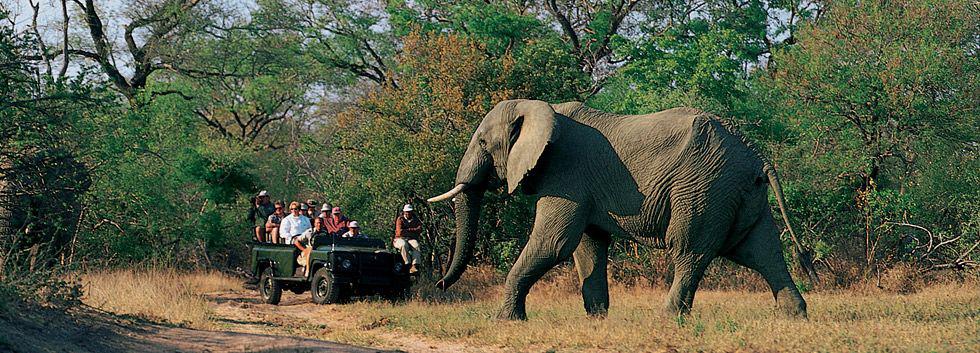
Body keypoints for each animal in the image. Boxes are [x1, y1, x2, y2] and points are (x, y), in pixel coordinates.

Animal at [424, 98, 808, 320]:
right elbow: (588, 247)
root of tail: (757, 156)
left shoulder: (566, 174)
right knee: (763, 252)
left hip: (703, 189)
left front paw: (504, 321)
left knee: (689, 251)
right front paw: (596, 320)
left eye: (483, 142)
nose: (440, 285)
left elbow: (554, 243)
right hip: (740, 194)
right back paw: (794, 317)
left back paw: (667, 321)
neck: (538, 108)